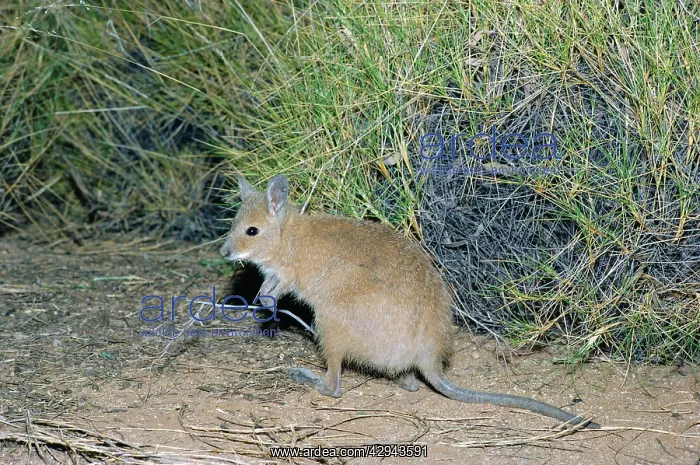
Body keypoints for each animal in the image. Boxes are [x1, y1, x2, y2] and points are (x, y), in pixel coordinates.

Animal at [219, 174, 599, 429]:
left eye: (251, 231)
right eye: (235, 225)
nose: (224, 252)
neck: (286, 236)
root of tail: (428, 357)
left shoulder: (287, 273)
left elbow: (276, 286)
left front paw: (266, 305)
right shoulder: (276, 273)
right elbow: (267, 285)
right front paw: (262, 304)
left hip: (330, 319)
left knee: (334, 387)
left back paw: (305, 376)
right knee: (410, 383)